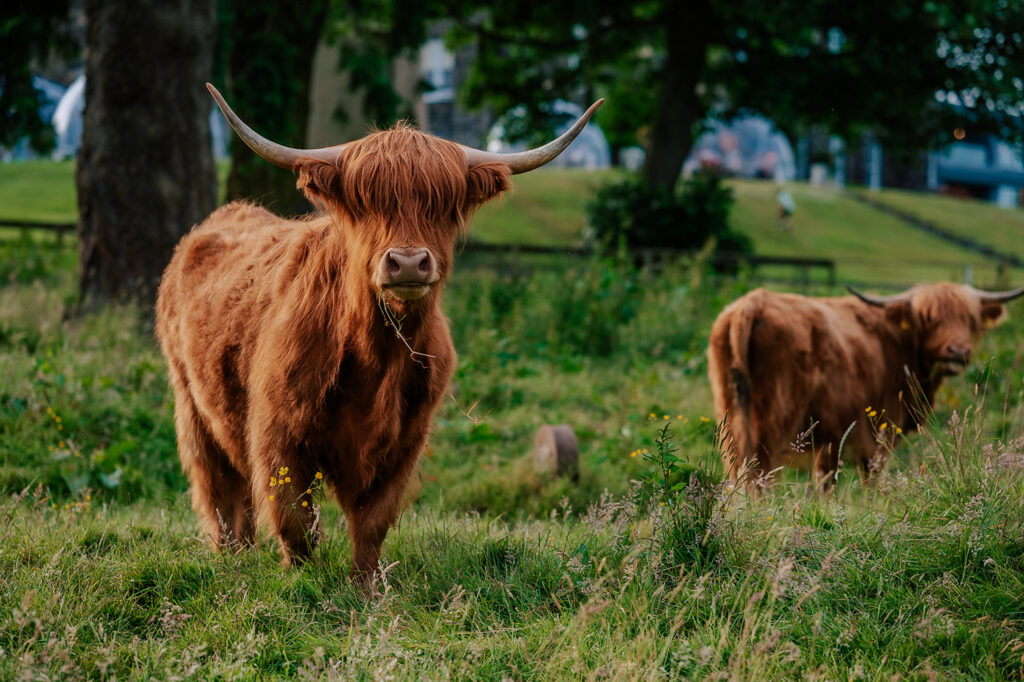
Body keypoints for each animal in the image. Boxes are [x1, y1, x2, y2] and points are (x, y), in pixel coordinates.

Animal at [152, 80, 598, 577]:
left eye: (442, 206)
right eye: (367, 204)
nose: (408, 262)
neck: (376, 357)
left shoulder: (404, 441)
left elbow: (372, 524)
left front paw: (366, 588)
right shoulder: (277, 432)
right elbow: (294, 520)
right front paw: (301, 581)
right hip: (191, 405)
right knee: (219, 493)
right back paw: (233, 559)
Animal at [708, 282, 1019, 489]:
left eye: (970, 318)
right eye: (929, 318)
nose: (958, 351)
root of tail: (752, 303)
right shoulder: (877, 434)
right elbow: (866, 479)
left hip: (732, 420)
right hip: (772, 422)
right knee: (759, 475)